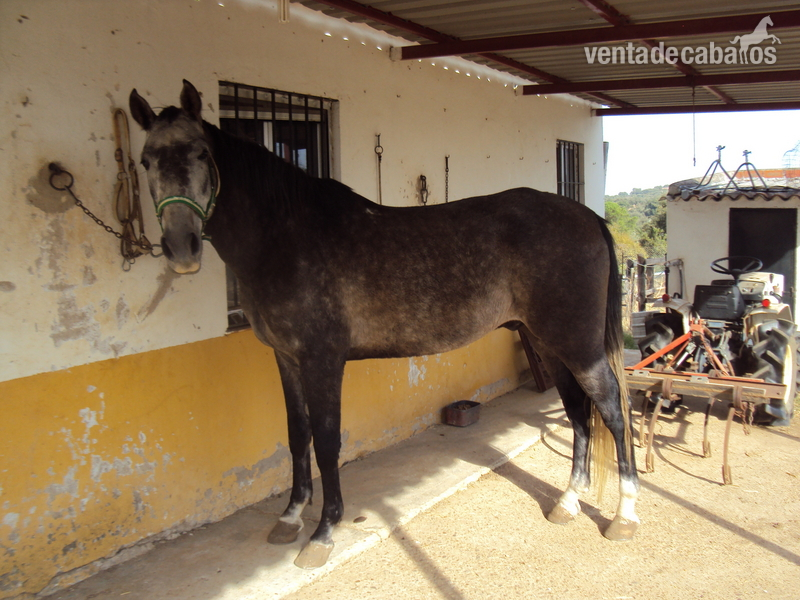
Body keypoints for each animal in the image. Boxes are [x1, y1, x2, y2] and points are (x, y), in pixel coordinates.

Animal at [129, 80, 639, 569]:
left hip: (577, 345)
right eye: (145, 160)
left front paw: (323, 533)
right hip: (550, 343)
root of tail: (589, 216)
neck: (286, 237)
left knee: (612, 408)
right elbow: (297, 435)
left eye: (201, 154)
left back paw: (624, 517)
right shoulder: (286, 358)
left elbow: (326, 442)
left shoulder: (322, 361)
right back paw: (567, 503)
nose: (181, 248)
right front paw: (290, 517)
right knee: (578, 411)